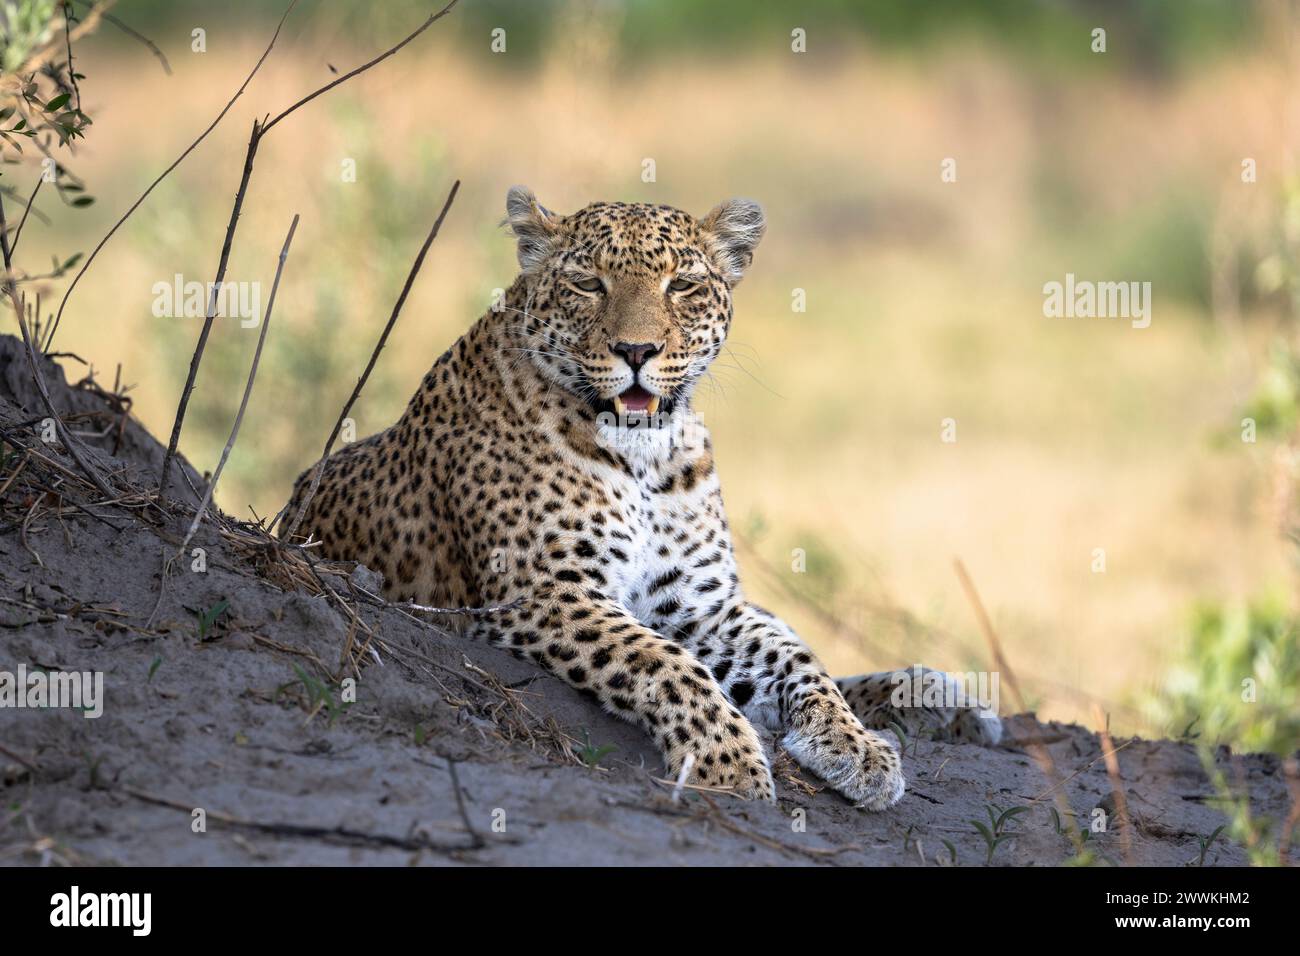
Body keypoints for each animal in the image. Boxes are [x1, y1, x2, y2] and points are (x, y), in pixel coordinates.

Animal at [283, 186, 1001, 809]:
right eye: (587, 284)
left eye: (681, 285)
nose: (637, 350)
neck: (645, 458)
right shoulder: (544, 593)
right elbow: (666, 664)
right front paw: (728, 763)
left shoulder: (699, 606)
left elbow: (797, 660)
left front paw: (854, 746)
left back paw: (944, 697)